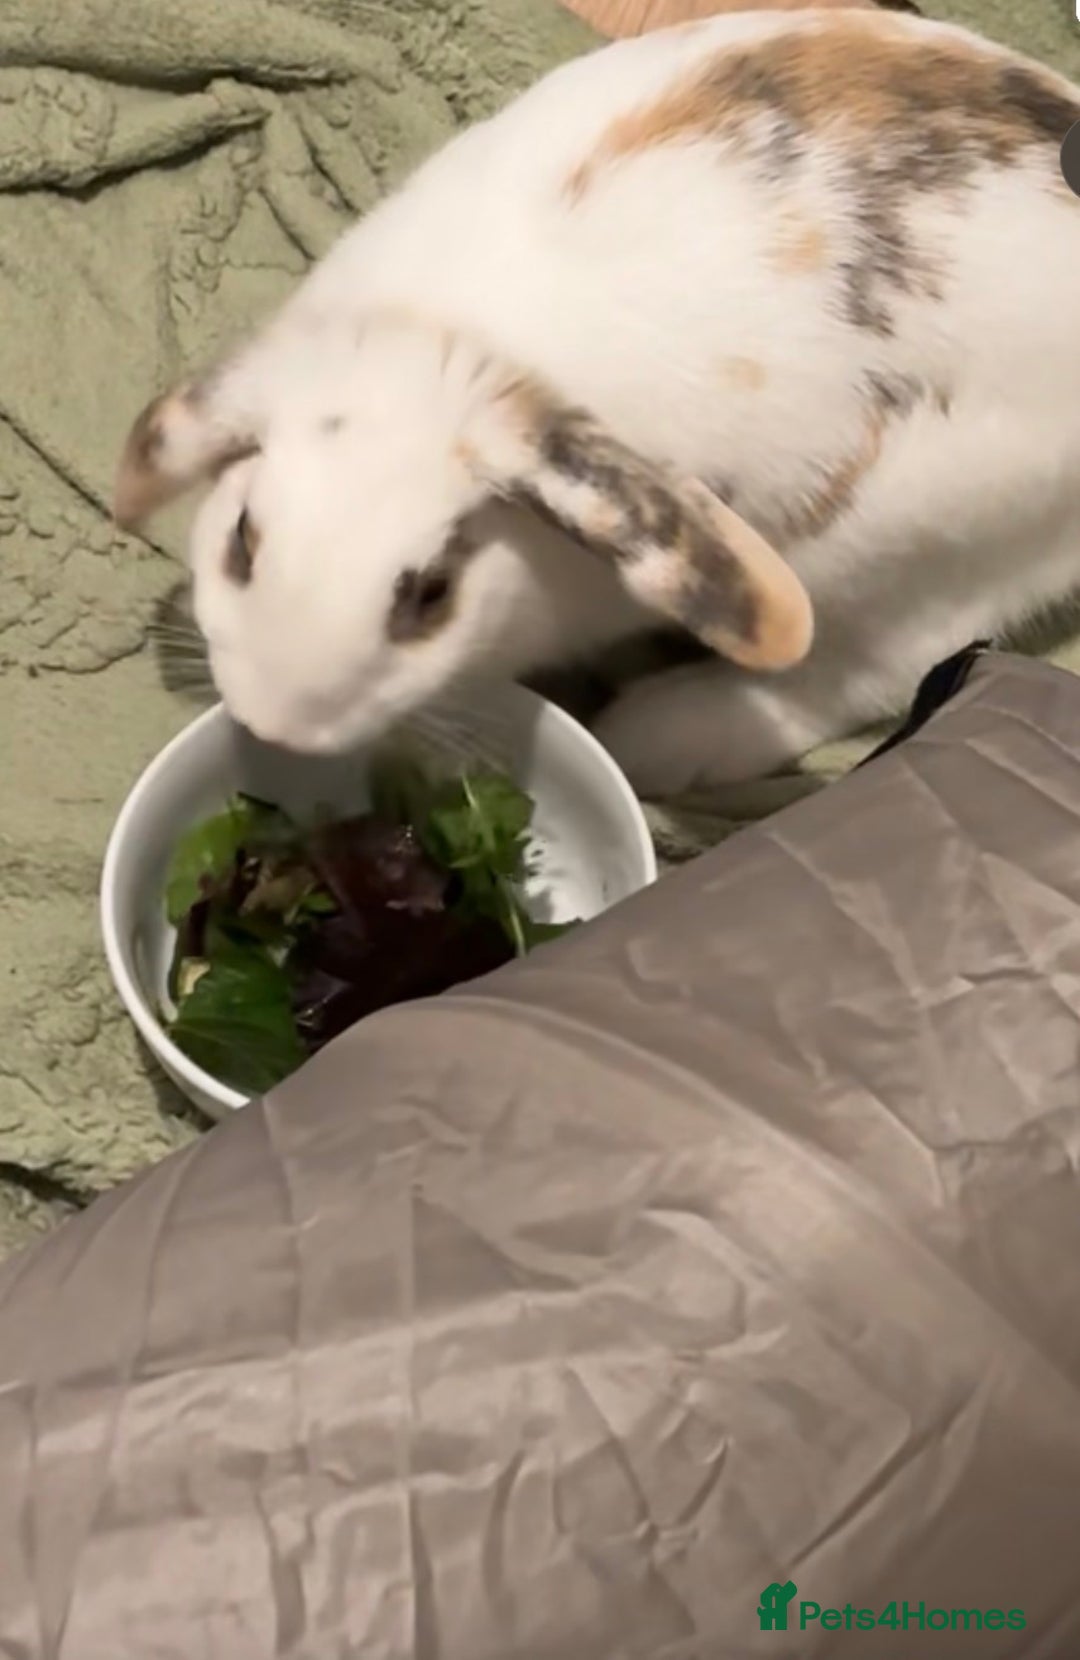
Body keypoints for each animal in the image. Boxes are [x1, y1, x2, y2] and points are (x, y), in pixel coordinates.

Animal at [114, 6, 1080, 797]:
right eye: (243, 539)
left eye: (432, 594)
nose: (273, 720)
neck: (452, 360)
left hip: (915, 542)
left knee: (885, 661)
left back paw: (656, 736)